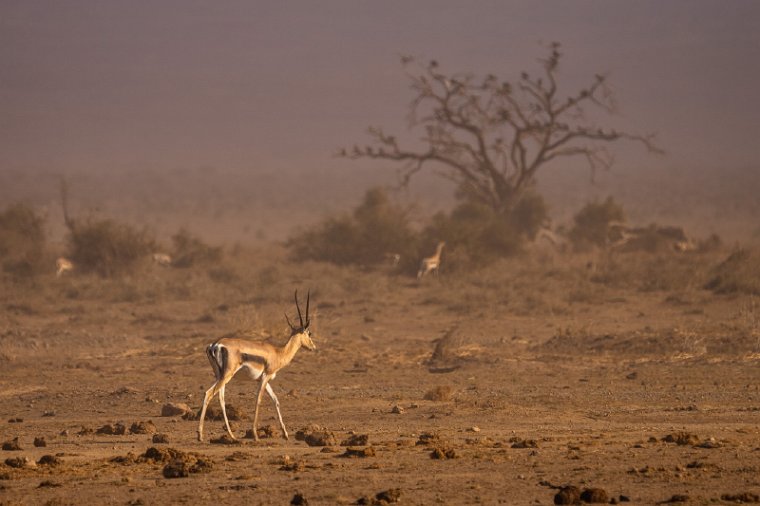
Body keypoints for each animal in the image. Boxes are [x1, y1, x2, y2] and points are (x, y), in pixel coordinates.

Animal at [197, 290, 316, 440]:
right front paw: (255, 434)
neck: (278, 352)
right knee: (209, 393)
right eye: (309, 333)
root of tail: (216, 344)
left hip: (219, 375)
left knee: (220, 398)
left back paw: (231, 435)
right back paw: (200, 435)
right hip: (226, 376)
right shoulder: (265, 376)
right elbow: (258, 400)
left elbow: (275, 400)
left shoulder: (263, 379)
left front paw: (285, 434)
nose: (313, 347)